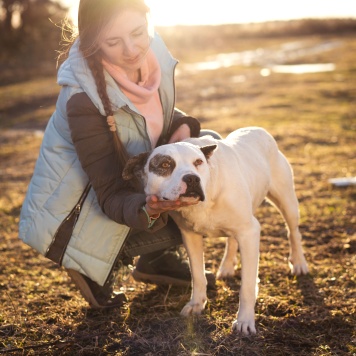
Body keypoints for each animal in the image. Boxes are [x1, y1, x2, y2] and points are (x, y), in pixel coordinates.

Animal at [123, 128, 308, 336]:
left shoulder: (250, 232)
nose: (192, 178)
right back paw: (226, 267)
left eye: (198, 162)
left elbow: (247, 286)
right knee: (232, 240)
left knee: (293, 232)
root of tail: (258, 129)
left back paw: (299, 263)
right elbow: (197, 275)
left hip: (287, 202)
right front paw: (196, 304)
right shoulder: (190, 237)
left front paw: (244, 320)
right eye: (165, 164)